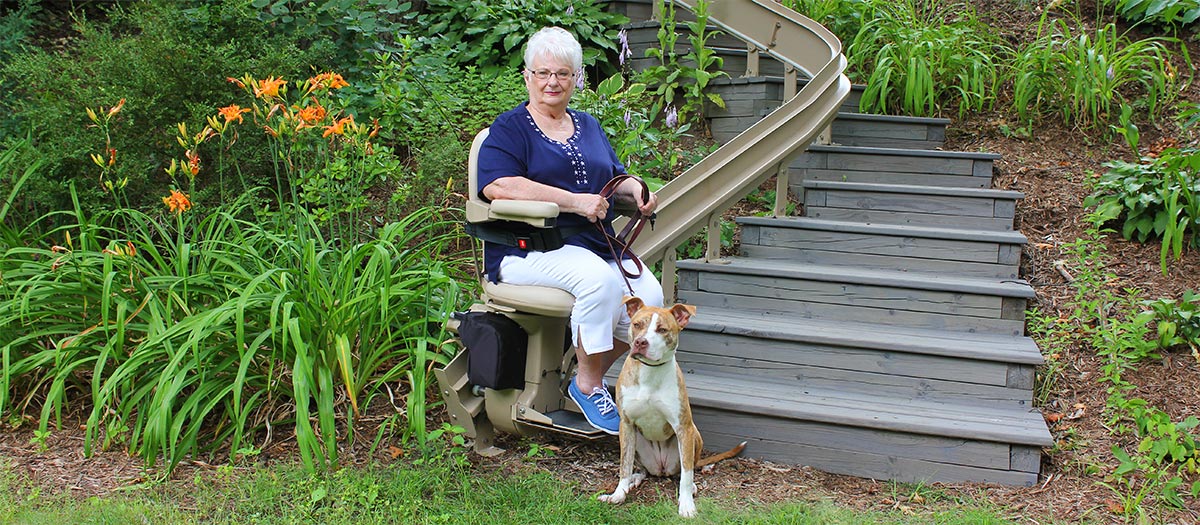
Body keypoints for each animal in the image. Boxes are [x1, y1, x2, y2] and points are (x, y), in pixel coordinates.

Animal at [597, 294, 739, 517]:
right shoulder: (626, 424)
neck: (649, 372)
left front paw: (687, 505)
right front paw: (618, 494)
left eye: (662, 329)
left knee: (684, 471)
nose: (640, 342)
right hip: (635, 440)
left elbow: (687, 474)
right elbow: (624, 465)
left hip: (693, 435)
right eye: (637, 325)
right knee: (643, 470)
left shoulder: (683, 427)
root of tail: (661, 469)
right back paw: (633, 481)